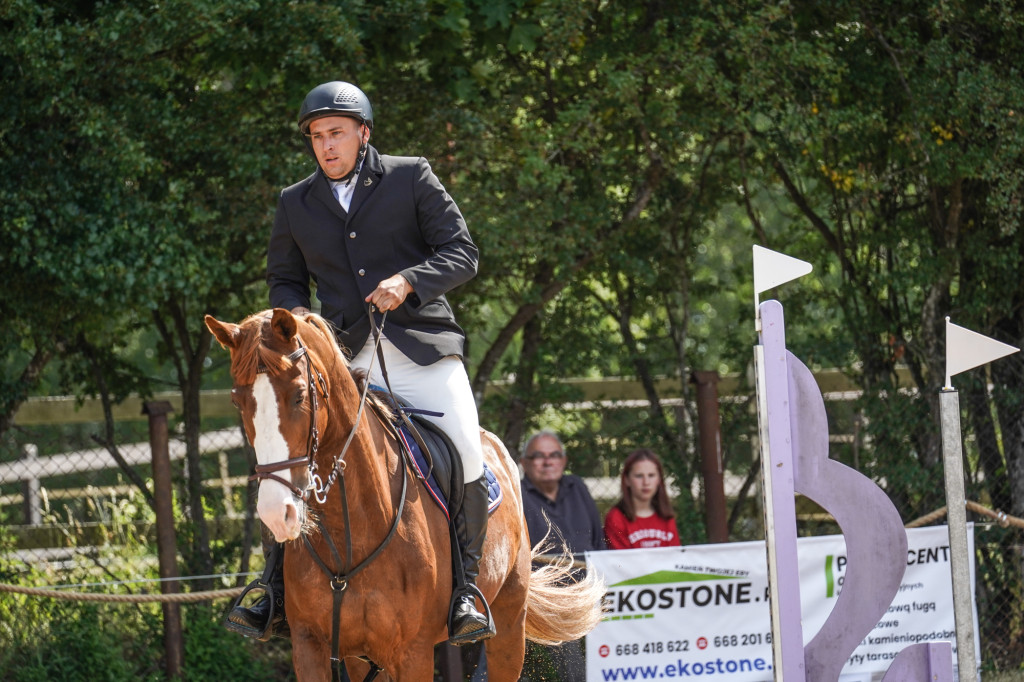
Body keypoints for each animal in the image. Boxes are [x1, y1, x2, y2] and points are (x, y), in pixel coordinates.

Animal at [205, 309, 606, 679]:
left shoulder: (413, 652)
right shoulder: (311, 646)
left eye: (300, 395)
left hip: (509, 624)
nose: (277, 512)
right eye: (238, 402)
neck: (352, 532)